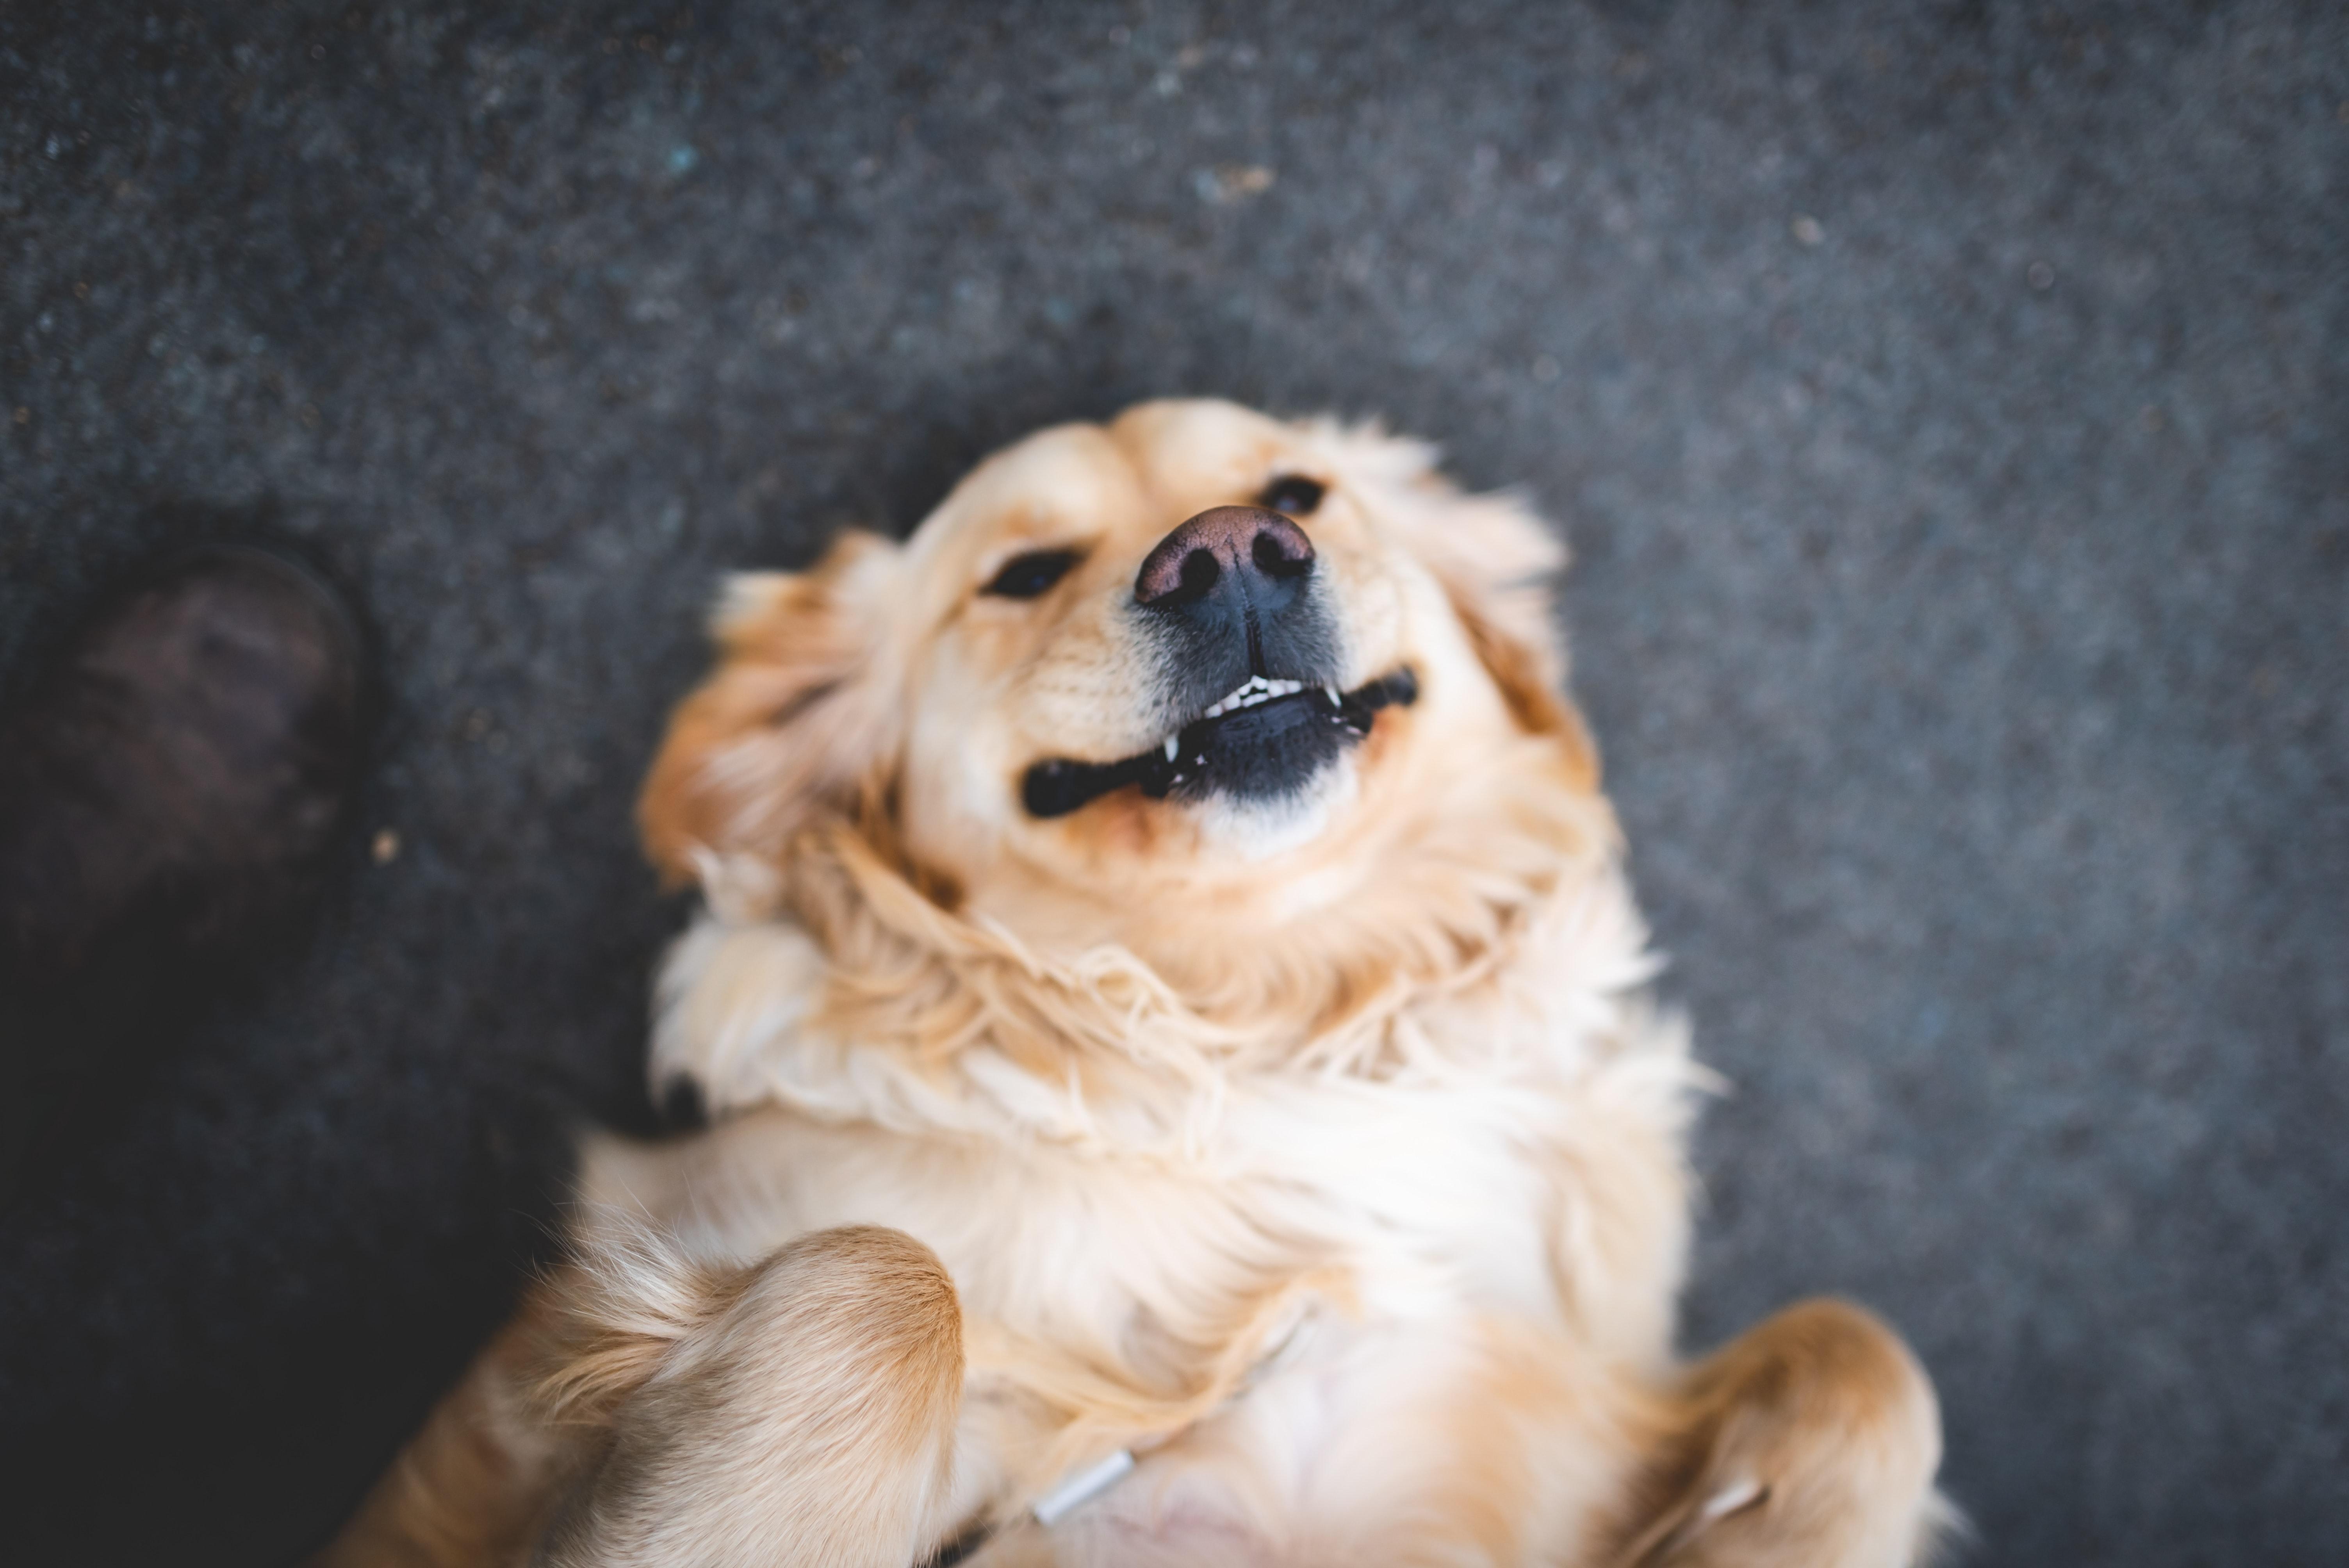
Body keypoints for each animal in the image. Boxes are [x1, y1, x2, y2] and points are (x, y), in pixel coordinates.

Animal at [326, 401, 1945, 1568]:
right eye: (1021, 572)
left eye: (1299, 489)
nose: (1226, 550)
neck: (1265, 1035)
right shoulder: (572, 1338)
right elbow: (884, 1279)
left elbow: (1871, 1352)